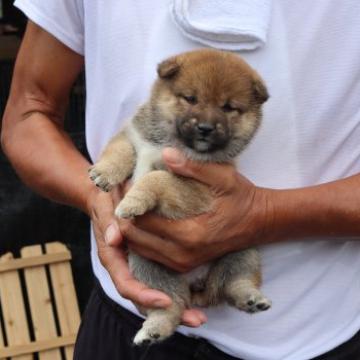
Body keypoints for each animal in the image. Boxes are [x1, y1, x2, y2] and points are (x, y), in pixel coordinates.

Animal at [89, 49, 270, 344]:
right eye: (191, 98)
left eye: (228, 107)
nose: (206, 128)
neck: (170, 142)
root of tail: (199, 287)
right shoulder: (133, 136)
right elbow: (119, 151)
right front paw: (104, 173)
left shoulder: (198, 189)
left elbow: (156, 178)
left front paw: (133, 201)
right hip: (150, 267)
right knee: (172, 304)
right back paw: (156, 328)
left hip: (242, 248)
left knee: (234, 283)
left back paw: (250, 298)